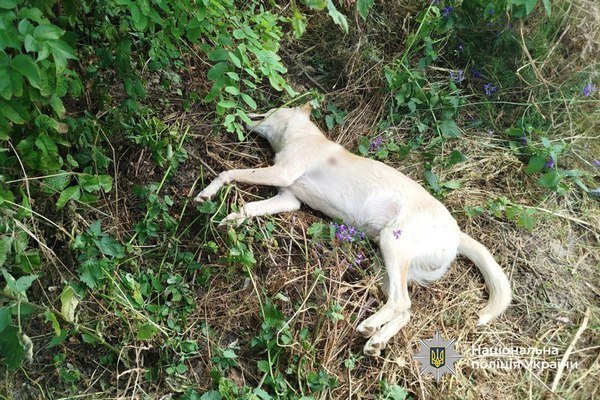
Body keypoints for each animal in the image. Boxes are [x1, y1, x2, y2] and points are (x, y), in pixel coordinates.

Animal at [195, 103, 511, 356]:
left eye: (271, 108)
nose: (237, 109)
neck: (303, 135)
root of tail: (457, 234)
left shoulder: (281, 173)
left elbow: (228, 173)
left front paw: (207, 193)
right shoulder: (288, 198)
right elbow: (249, 208)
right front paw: (232, 220)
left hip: (392, 245)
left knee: (401, 302)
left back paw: (370, 326)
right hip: (383, 268)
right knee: (406, 310)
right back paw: (377, 340)